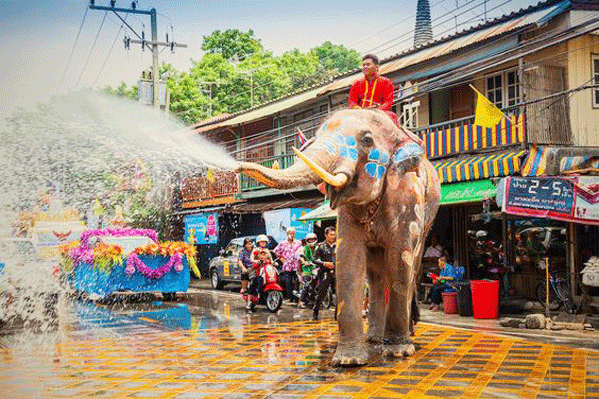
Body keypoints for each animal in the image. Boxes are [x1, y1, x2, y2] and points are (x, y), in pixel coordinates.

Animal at [238, 108, 440, 366]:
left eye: (367, 140)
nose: (236, 167)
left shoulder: (407, 197)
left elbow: (399, 258)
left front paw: (398, 353)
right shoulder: (347, 213)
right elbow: (349, 257)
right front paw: (348, 361)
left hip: (428, 218)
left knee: (411, 267)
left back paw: (405, 335)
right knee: (376, 274)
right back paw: (375, 338)